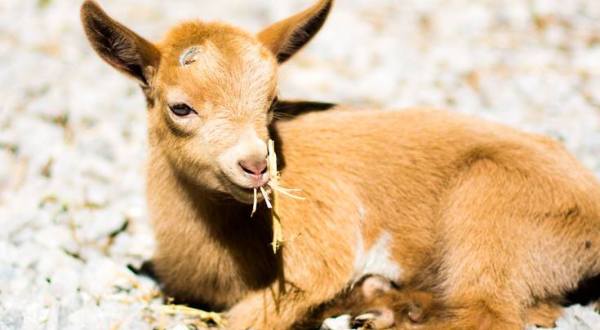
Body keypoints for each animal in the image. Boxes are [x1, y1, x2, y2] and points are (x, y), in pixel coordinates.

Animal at [81, 0, 600, 328]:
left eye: (273, 103)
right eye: (181, 107)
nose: (256, 166)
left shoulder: (318, 237)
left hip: (491, 208)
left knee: (488, 313)